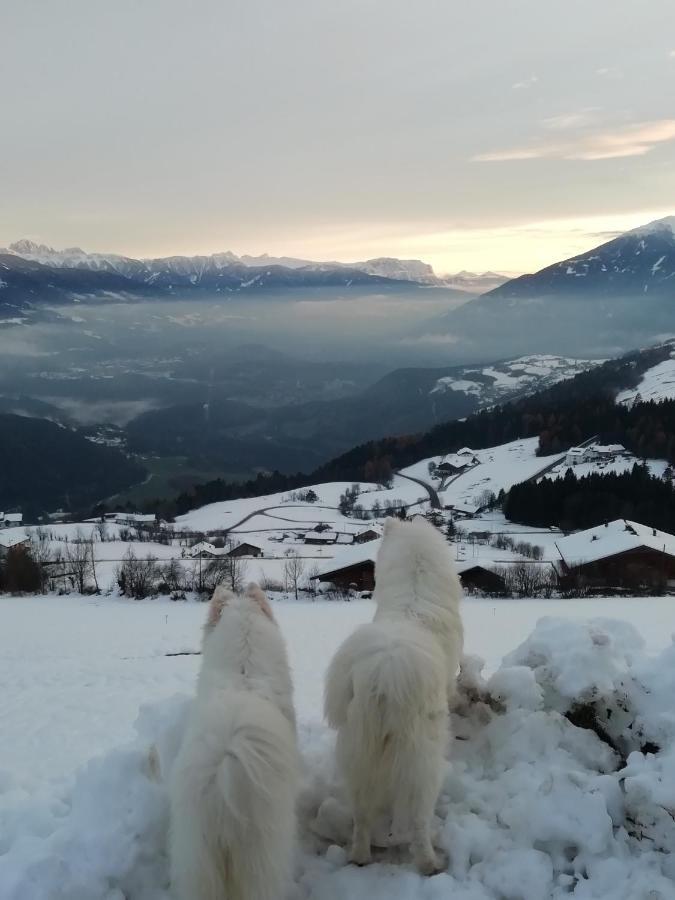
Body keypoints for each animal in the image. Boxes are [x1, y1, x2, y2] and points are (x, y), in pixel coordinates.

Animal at [324, 516, 462, 876]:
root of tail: (386, 670)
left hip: (359, 753)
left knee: (361, 816)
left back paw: (360, 857)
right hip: (421, 763)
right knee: (418, 821)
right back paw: (430, 864)